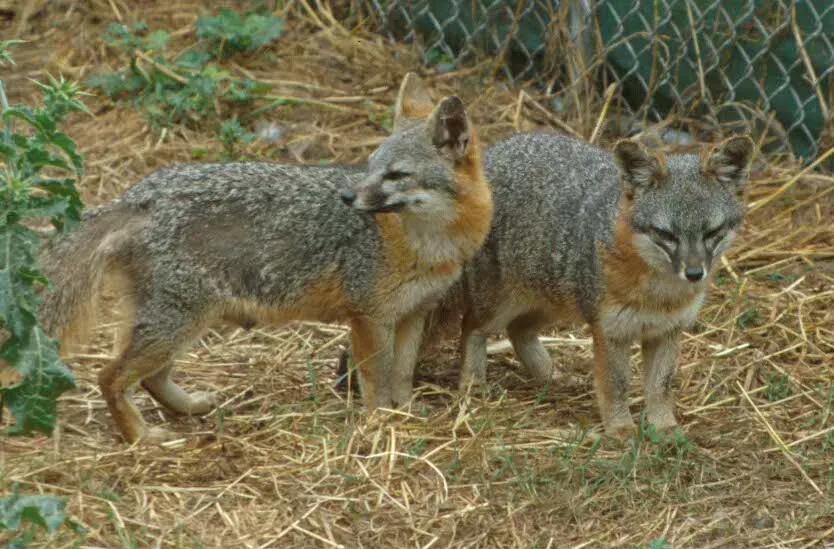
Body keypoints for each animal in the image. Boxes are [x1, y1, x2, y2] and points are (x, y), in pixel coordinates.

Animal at [39, 73, 493, 444]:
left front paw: (406, 413)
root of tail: (138, 194)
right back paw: (141, 437)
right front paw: (380, 423)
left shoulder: (414, 313)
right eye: (368, 166)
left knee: (151, 376)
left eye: (396, 175)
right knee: (109, 376)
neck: (429, 246)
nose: (347, 197)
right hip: (178, 322)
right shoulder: (369, 317)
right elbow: (376, 380)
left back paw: (188, 408)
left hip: (187, 322)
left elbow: (401, 374)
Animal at [338, 131, 754, 437]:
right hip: (502, 302)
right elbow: (616, 384)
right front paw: (620, 429)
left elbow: (660, 386)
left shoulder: (668, 331)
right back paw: (473, 386)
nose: (695, 273)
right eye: (665, 234)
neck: (661, 294)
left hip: (554, 301)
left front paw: (665, 429)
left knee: (519, 331)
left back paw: (550, 375)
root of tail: (495, 154)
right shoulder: (610, 332)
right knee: (472, 328)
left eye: (712, 232)